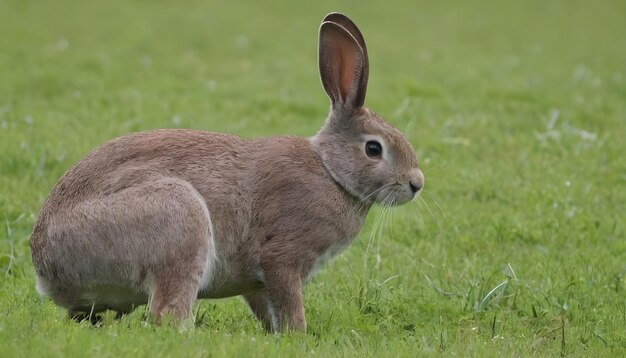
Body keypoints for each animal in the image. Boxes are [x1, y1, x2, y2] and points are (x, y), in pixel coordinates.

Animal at [29, 14, 424, 332]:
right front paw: (300, 335)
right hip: (178, 218)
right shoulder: (281, 257)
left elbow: (266, 306)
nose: (416, 184)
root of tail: (46, 265)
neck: (331, 171)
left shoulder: (258, 283)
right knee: (166, 313)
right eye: (374, 149)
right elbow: (289, 302)